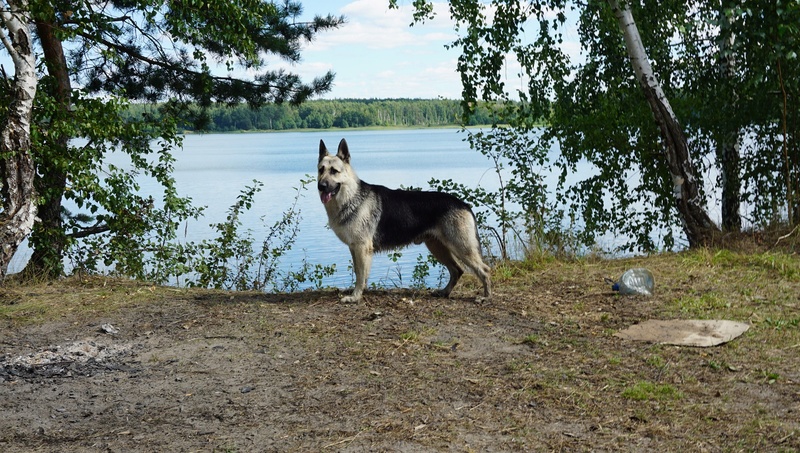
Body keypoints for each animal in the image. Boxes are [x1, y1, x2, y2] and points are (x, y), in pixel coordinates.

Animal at [316, 137, 490, 300]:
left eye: (334, 171)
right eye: (321, 170)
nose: (321, 186)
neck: (351, 196)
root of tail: (464, 204)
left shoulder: (361, 248)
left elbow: (360, 275)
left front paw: (355, 297)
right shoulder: (354, 248)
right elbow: (360, 274)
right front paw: (359, 293)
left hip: (462, 248)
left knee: (484, 270)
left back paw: (485, 297)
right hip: (438, 247)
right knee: (457, 270)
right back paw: (445, 292)